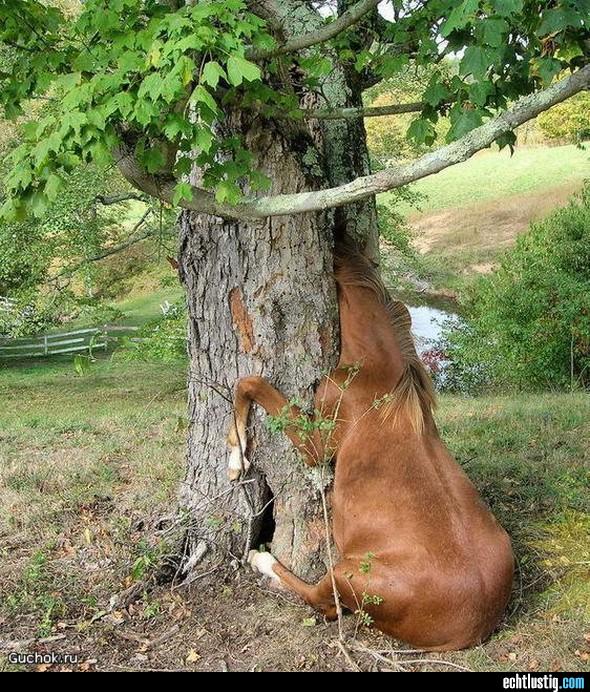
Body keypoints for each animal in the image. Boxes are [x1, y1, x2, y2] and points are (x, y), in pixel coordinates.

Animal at [227, 246, 512, 652]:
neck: (379, 372)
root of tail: (474, 626)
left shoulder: (317, 445)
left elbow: (248, 382)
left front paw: (237, 457)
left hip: (346, 574)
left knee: (323, 602)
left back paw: (260, 559)